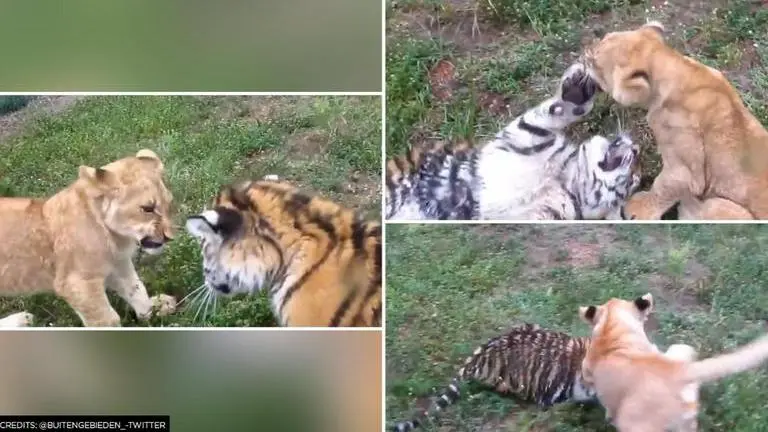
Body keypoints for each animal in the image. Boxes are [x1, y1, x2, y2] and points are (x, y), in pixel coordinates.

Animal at [385, 63, 640, 221]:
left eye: (631, 181)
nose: (637, 149)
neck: (564, 180)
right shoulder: (525, 138)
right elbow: (552, 114)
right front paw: (577, 91)